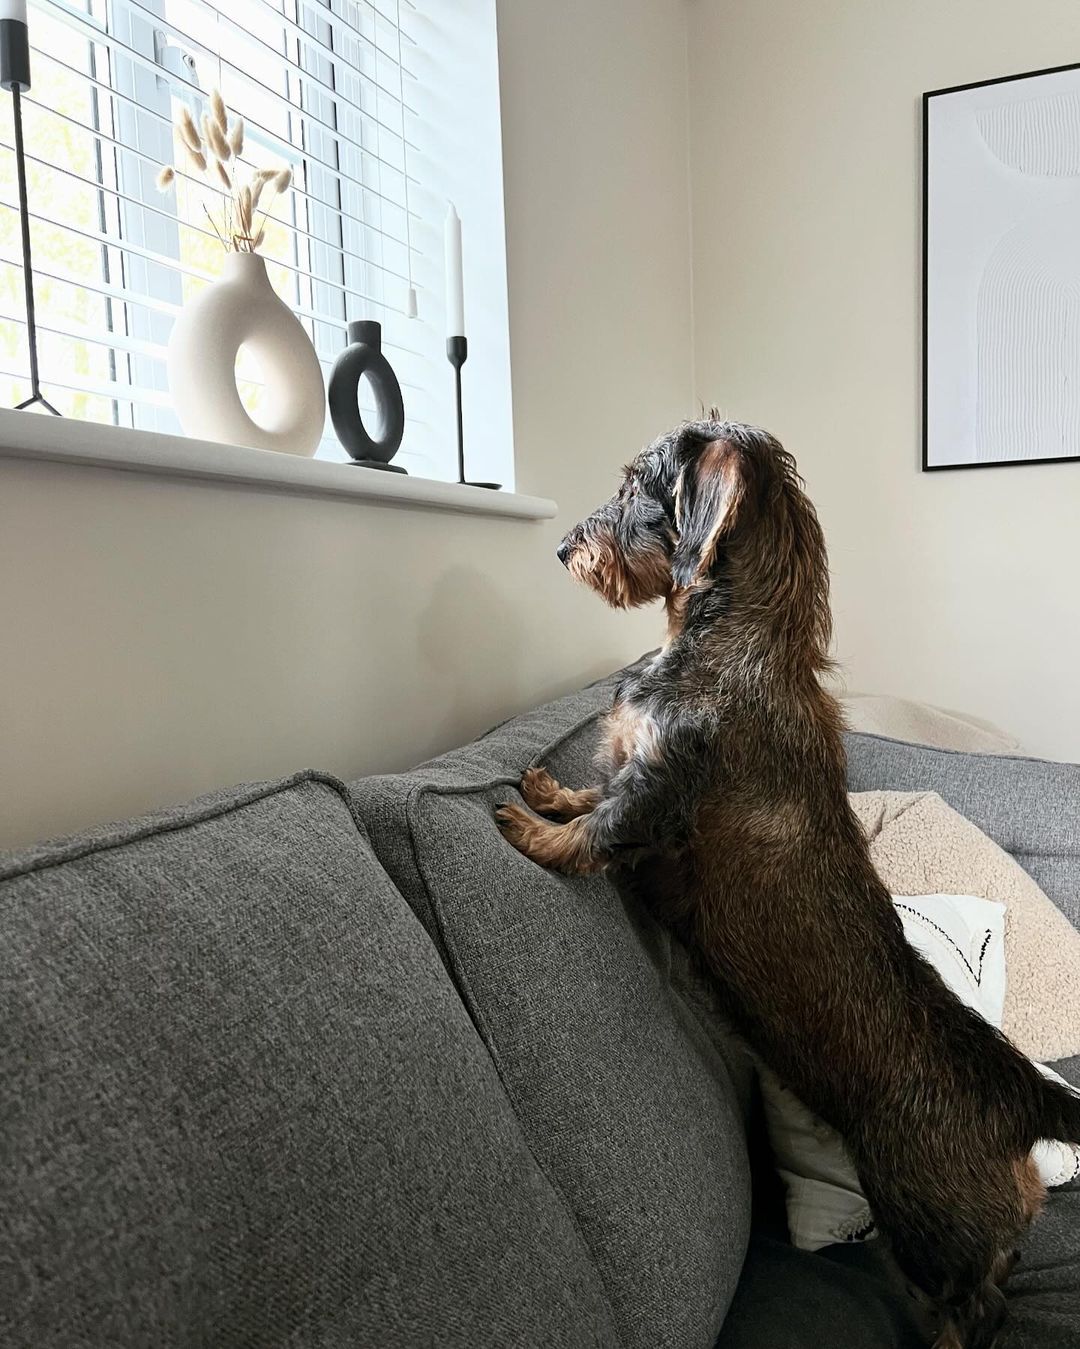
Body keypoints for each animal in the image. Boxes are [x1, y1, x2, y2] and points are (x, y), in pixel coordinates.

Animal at [496, 415, 1078, 1343]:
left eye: (634, 487)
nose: (561, 547)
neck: (736, 643)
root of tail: (1017, 1089)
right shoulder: (633, 772)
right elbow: (593, 792)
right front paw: (550, 789)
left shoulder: (655, 798)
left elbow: (593, 833)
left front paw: (530, 830)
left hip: (925, 1221)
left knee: (976, 1302)